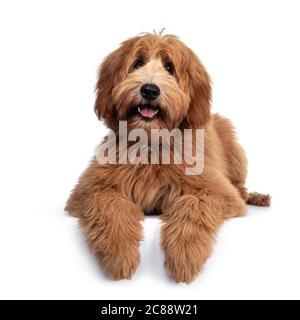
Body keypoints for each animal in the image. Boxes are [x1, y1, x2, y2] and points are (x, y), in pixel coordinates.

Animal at [65, 31, 270, 282]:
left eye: (170, 67)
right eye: (138, 63)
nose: (149, 90)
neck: (152, 144)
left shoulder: (219, 192)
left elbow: (193, 205)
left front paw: (184, 256)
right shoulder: (87, 190)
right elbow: (109, 204)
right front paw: (120, 255)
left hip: (228, 135)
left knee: (240, 187)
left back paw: (256, 197)